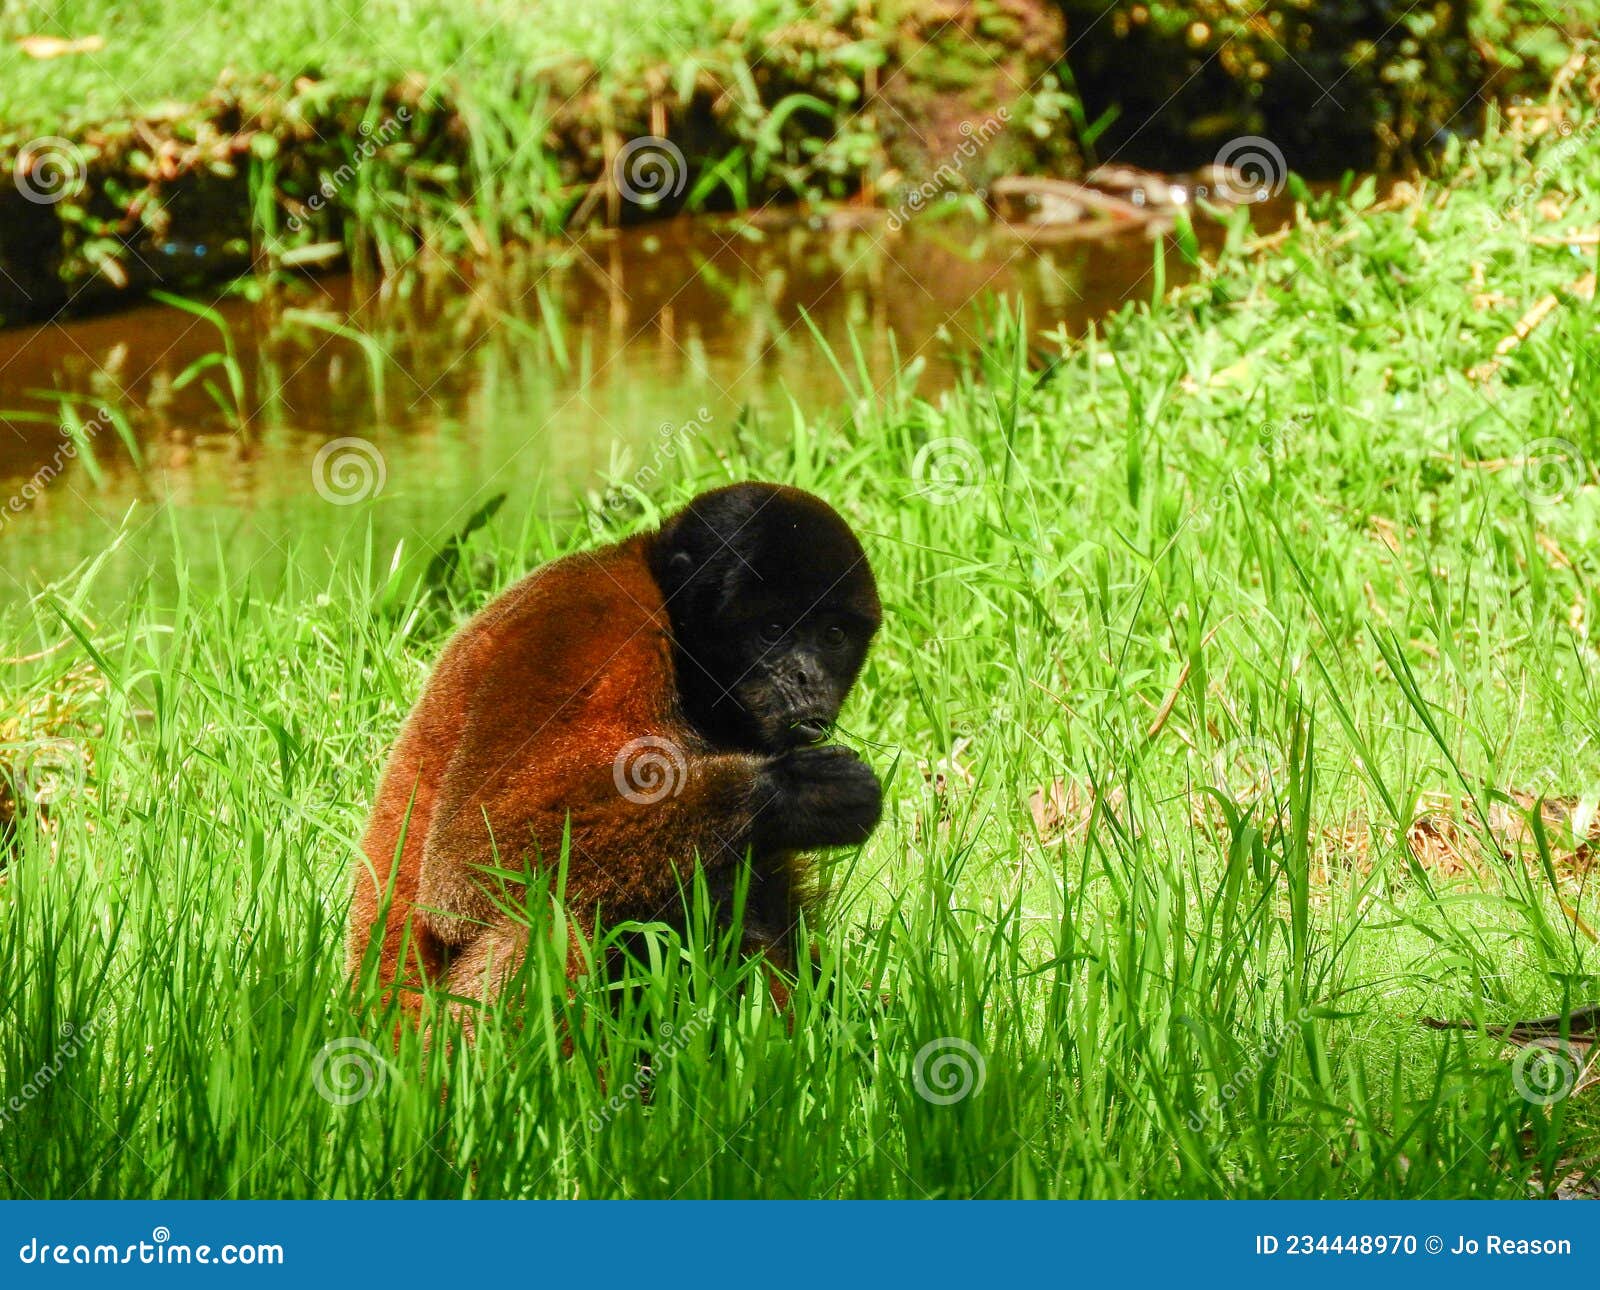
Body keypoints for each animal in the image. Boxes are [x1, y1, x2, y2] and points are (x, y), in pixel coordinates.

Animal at [345, 480, 889, 1017]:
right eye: (772, 631)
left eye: (833, 636)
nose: (807, 677)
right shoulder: (598, 633)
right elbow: (468, 859)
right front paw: (797, 792)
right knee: (548, 914)